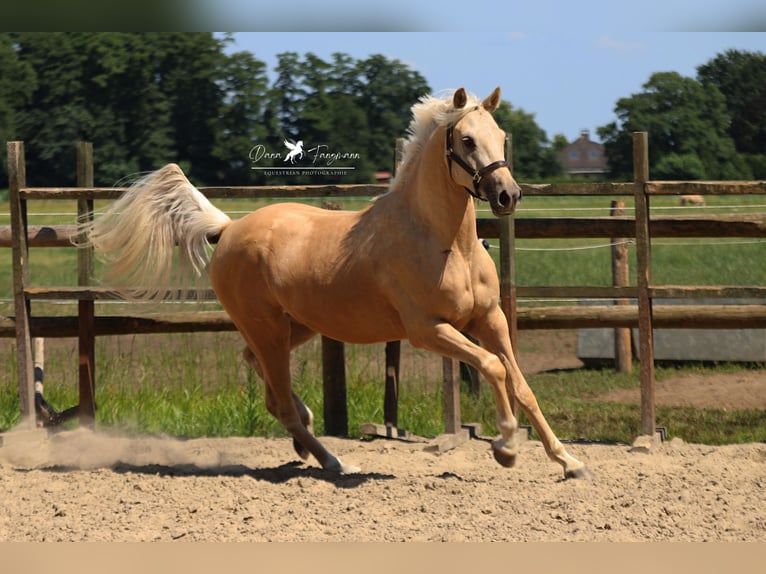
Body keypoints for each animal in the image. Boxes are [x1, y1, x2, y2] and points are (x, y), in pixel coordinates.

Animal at [82, 86, 592, 482]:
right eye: (466, 140)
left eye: (501, 136)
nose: (508, 195)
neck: (446, 244)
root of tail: (228, 229)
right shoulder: (427, 330)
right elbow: (492, 368)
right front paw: (505, 448)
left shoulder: (489, 318)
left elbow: (521, 384)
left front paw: (569, 462)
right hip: (269, 328)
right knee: (280, 399)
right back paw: (333, 461)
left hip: (296, 326)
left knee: (263, 376)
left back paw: (308, 441)